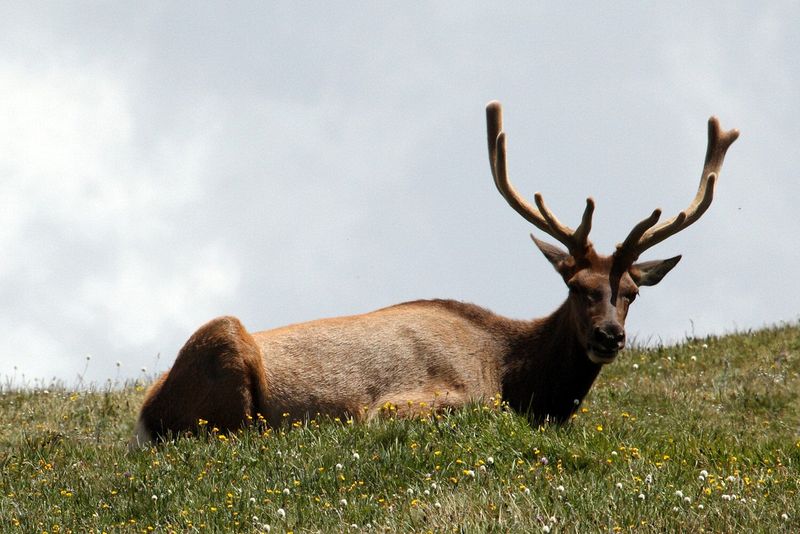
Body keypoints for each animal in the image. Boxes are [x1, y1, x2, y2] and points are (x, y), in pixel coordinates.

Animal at [130, 101, 739, 449]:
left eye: (632, 292)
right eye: (576, 287)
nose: (610, 336)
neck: (519, 377)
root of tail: (144, 415)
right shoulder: (429, 397)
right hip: (223, 346)